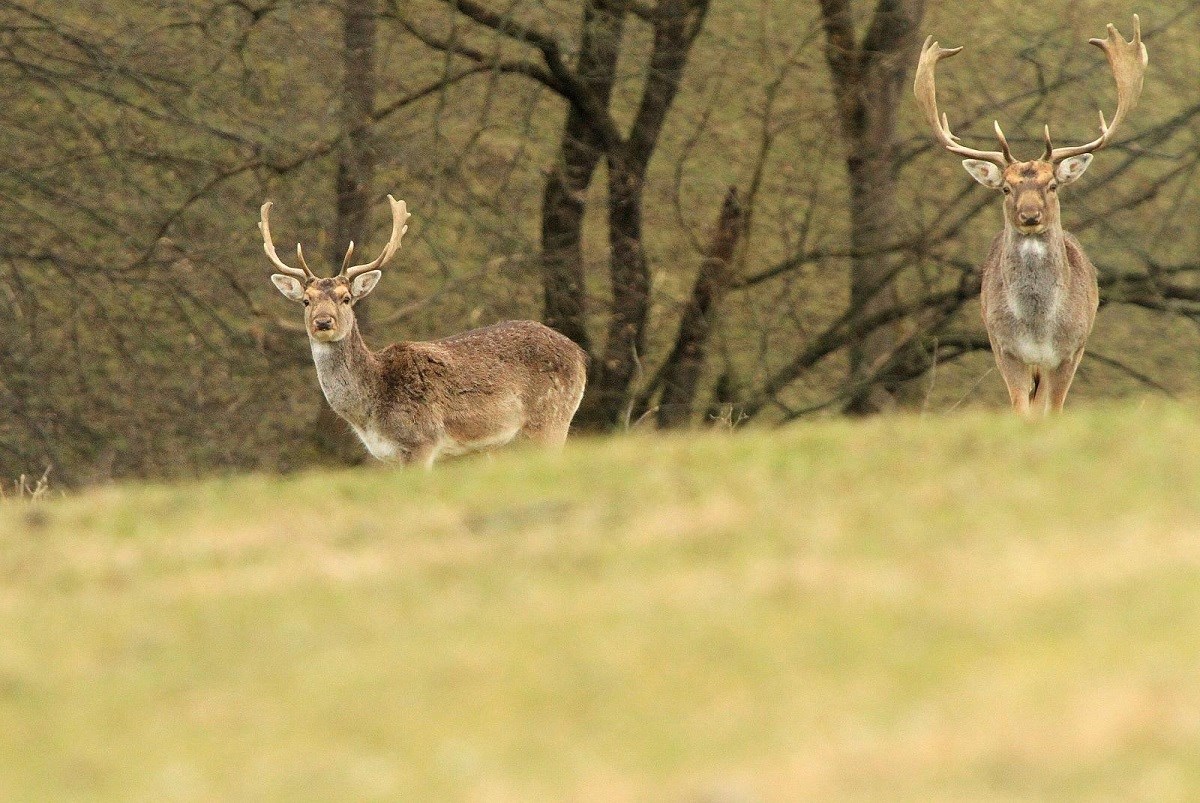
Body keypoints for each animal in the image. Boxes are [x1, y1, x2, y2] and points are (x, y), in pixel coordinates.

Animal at [260, 194, 588, 465]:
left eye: (346, 298)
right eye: (306, 300)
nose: (323, 322)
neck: (370, 412)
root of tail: (579, 354)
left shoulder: (421, 441)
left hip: (550, 420)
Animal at [912, 16, 1147, 417]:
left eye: (1052, 185)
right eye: (1006, 189)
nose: (1030, 214)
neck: (1038, 329)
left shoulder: (1070, 350)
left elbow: (1054, 411)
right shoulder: (1004, 348)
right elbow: (1021, 412)